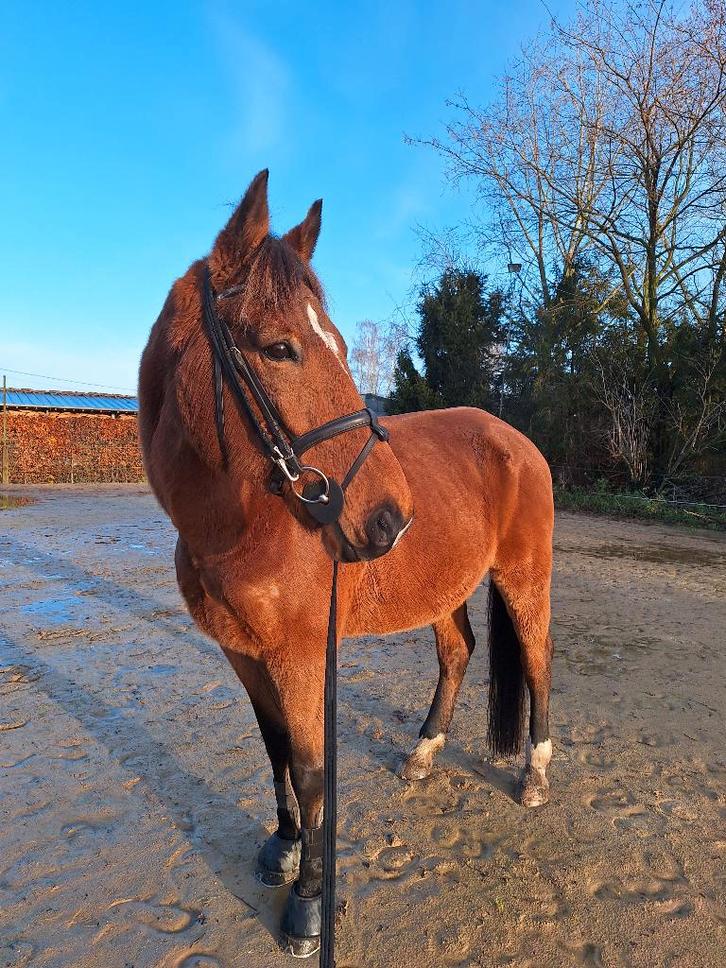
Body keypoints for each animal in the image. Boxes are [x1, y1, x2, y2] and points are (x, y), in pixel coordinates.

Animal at [138, 170, 554, 958]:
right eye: (279, 347)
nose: (391, 516)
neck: (241, 524)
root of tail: (516, 439)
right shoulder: (245, 653)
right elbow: (274, 750)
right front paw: (283, 848)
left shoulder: (301, 655)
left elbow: (310, 770)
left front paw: (307, 904)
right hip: (443, 589)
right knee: (459, 652)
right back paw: (424, 753)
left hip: (525, 581)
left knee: (538, 665)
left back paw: (536, 774)